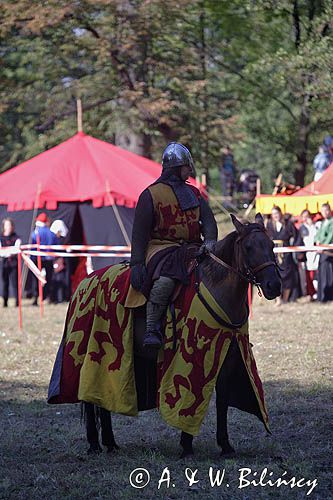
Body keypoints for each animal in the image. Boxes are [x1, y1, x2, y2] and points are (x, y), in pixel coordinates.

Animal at [49, 212, 280, 458]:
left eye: (271, 245)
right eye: (248, 247)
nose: (274, 286)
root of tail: (85, 281)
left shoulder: (227, 358)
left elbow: (223, 402)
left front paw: (225, 445)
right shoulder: (195, 358)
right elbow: (191, 395)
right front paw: (186, 444)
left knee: (104, 394)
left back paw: (110, 442)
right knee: (91, 395)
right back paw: (94, 443)